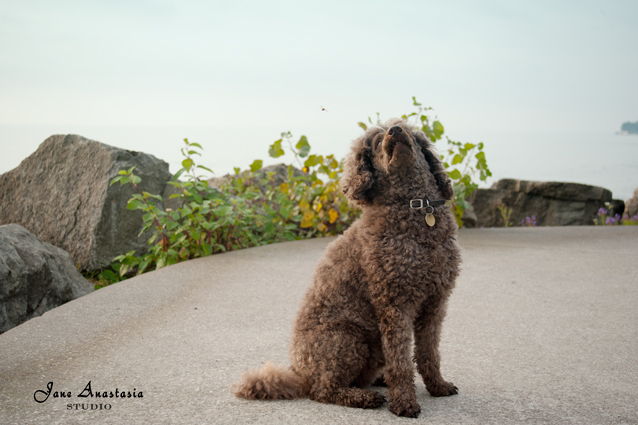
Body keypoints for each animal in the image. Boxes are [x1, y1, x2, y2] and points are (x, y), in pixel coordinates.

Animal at [232, 117, 462, 416]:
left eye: (407, 129)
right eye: (376, 142)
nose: (395, 131)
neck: (414, 208)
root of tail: (299, 372)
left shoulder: (435, 303)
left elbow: (429, 353)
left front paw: (437, 386)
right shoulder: (394, 305)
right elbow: (401, 360)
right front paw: (405, 402)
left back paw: (378, 381)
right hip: (349, 340)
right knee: (323, 390)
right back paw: (363, 397)